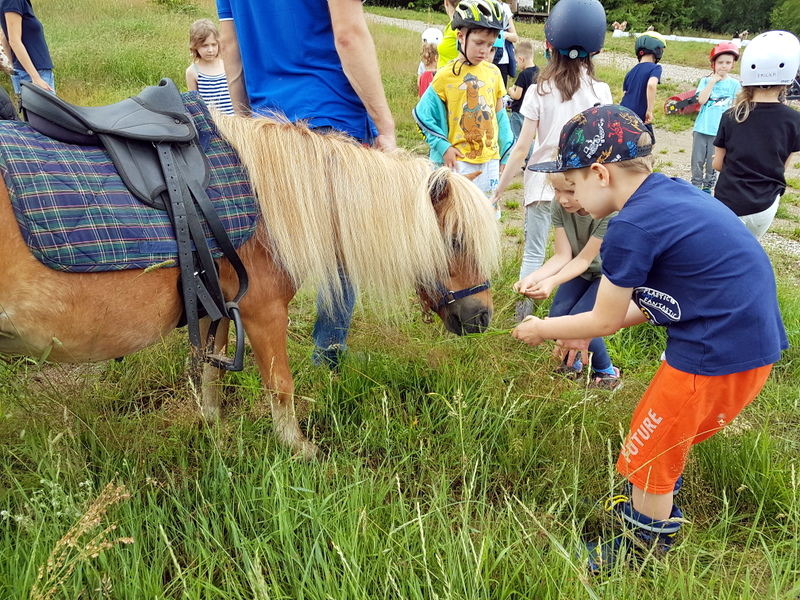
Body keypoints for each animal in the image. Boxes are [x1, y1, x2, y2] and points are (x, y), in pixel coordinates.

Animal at [0, 113, 500, 460]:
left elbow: (212, 374)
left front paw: (214, 429)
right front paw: (299, 449)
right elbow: (280, 385)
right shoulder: (262, 311)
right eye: (456, 240)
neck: (268, 203)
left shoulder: (222, 308)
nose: (482, 317)